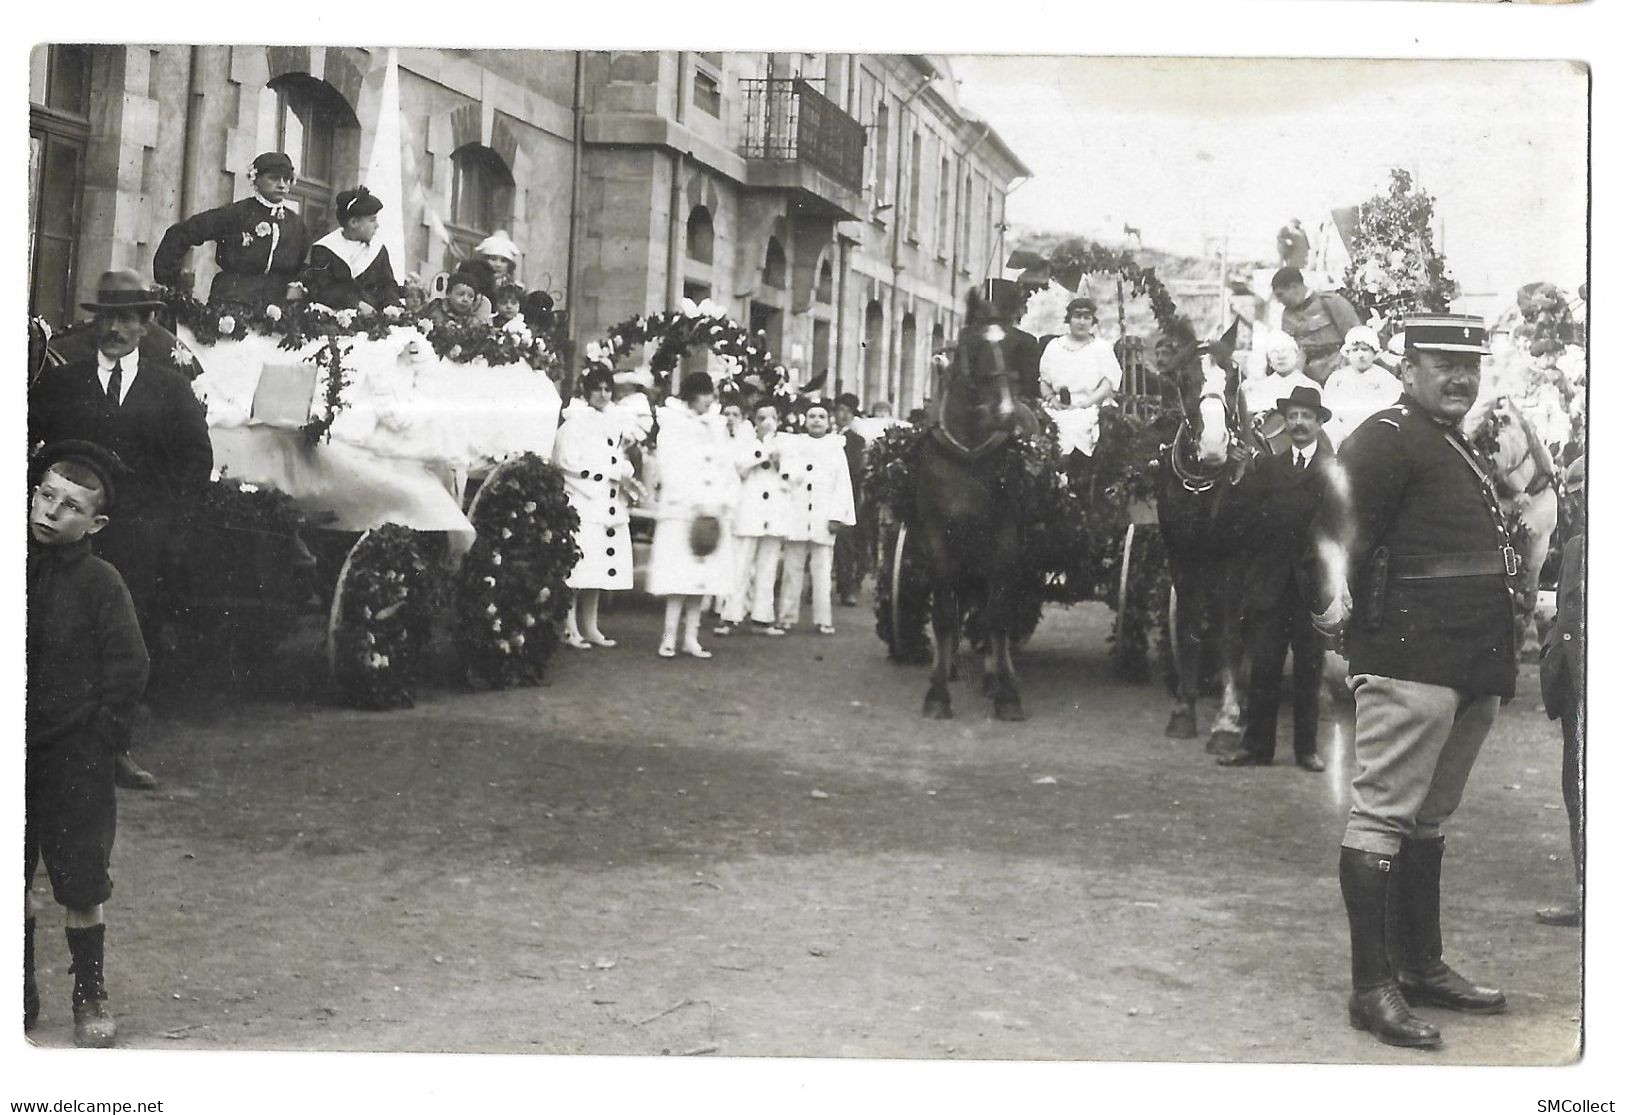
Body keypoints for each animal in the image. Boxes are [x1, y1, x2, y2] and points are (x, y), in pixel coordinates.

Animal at [910, 292, 1033, 721]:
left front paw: (1008, 694)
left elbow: (998, 614)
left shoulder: (1005, 538)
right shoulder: (935, 535)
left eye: (1015, 345)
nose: (1008, 415)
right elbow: (945, 615)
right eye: (975, 347)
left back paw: (995, 673)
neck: (968, 451)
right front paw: (937, 692)